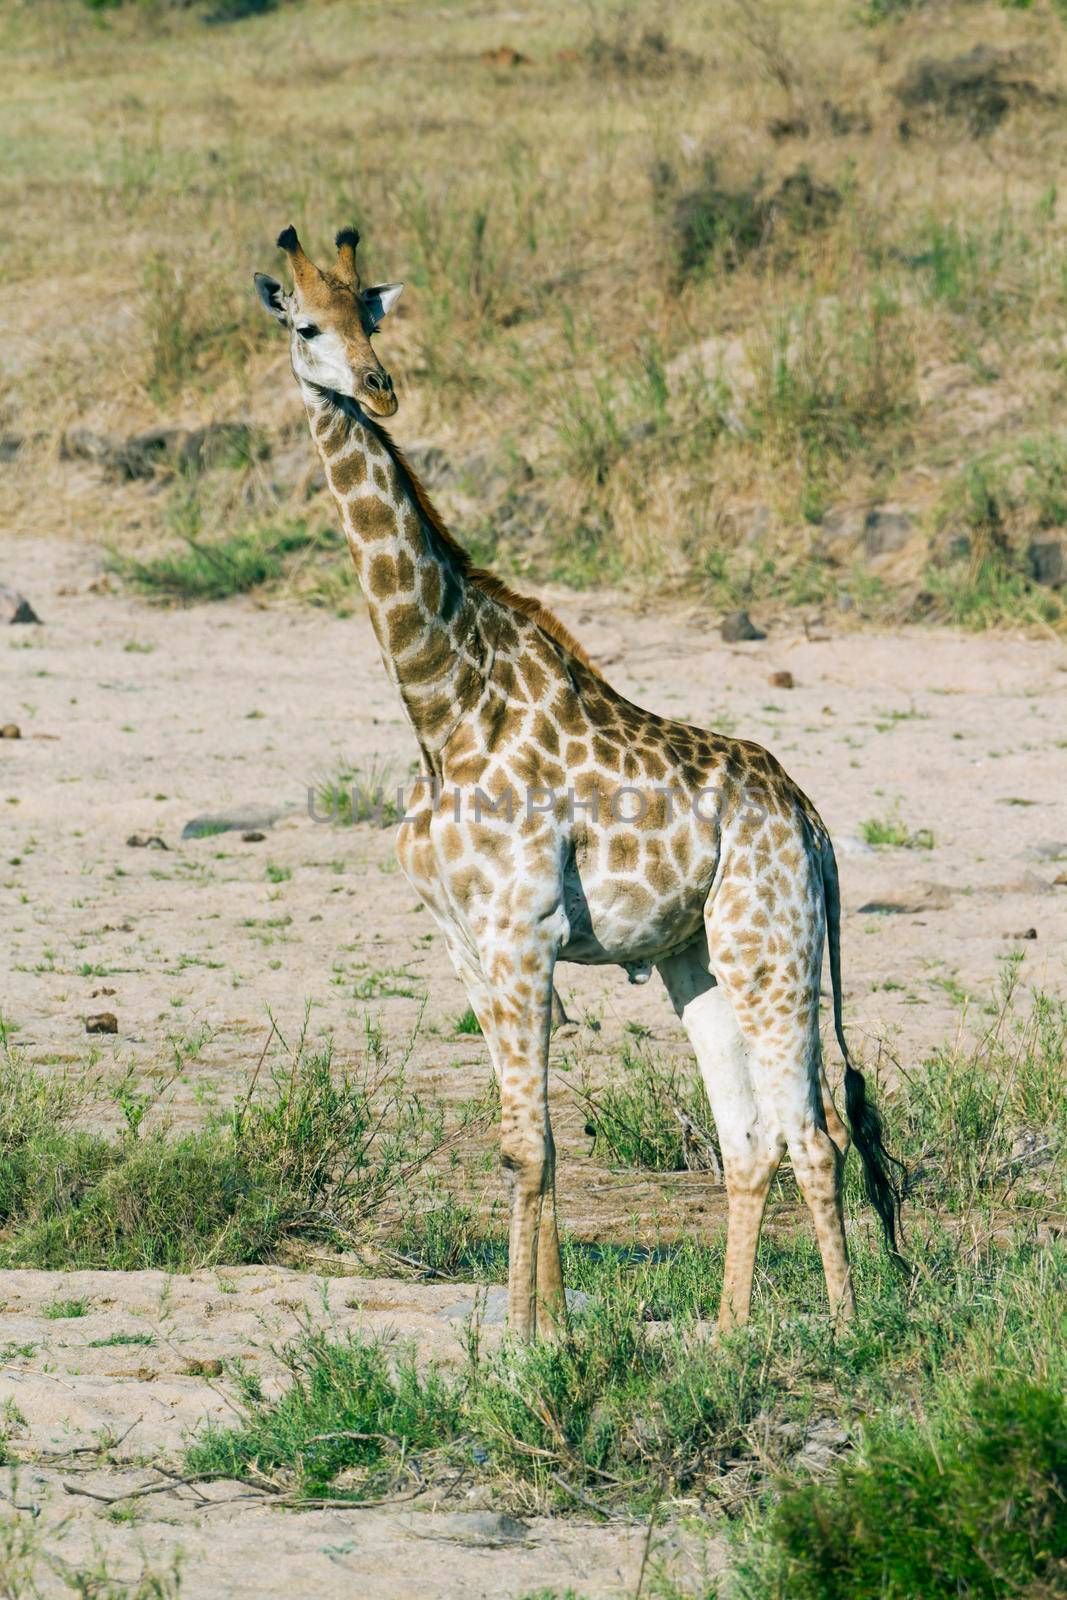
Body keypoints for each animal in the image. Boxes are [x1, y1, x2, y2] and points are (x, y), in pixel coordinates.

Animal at [255, 225, 902, 1344]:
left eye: (369, 319)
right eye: (307, 326)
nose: (380, 388)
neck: (441, 702)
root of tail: (810, 820)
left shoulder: (524, 933)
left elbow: (531, 1142)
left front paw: (530, 1336)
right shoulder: (468, 944)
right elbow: (525, 1138)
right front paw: (538, 1326)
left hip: (770, 946)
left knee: (812, 1134)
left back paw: (843, 1329)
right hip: (696, 959)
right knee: (747, 1139)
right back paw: (727, 1334)